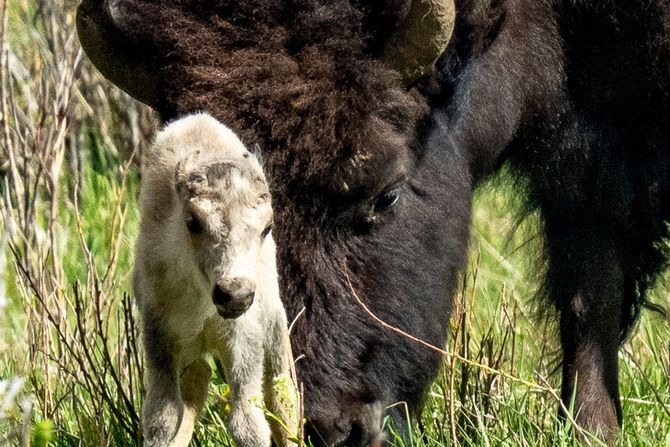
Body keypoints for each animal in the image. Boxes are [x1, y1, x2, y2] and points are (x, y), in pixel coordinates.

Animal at [133, 113, 298, 447]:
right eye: (193, 222)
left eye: (267, 227)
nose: (234, 295)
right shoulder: (160, 334)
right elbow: (163, 416)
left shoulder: (244, 337)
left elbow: (249, 422)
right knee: (197, 381)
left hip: (274, 327)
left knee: (282, 398)